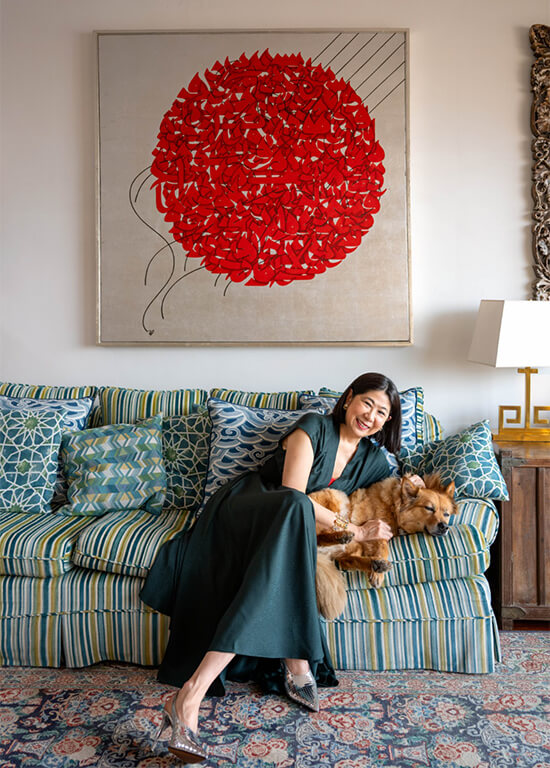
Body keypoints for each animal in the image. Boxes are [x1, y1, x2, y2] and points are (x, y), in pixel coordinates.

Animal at [310, 474, 457, 620]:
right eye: (429, 508)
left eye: (446, 514)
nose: (444, 527)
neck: (394, 505)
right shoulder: (377, 528)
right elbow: (383, 546)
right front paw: (378, 575)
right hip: (336, 496)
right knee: (319, 537)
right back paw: (342, 536)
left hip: (353, 546)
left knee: (346, 560)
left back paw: (375, 564)